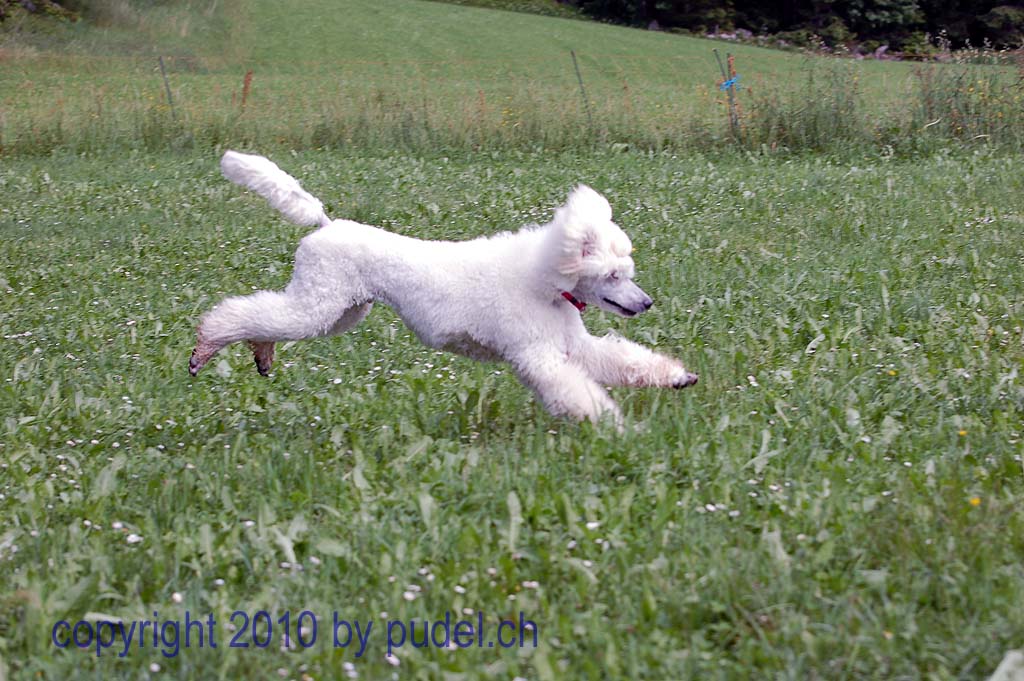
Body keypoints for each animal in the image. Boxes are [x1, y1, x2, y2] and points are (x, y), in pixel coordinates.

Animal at [189, 151, 698, 426]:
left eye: (627, 271)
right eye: (613, 275)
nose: (646, 302)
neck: (545, 282)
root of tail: (326, 224)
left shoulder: (574, 345)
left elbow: (621, 360)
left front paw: (677, 377)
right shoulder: (537, 355)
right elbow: (574, 389)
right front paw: (613, 425)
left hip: (342, 310)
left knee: (268, 318)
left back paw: (261, 352)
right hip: (320, 301)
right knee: (244, 314)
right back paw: (205, 347)